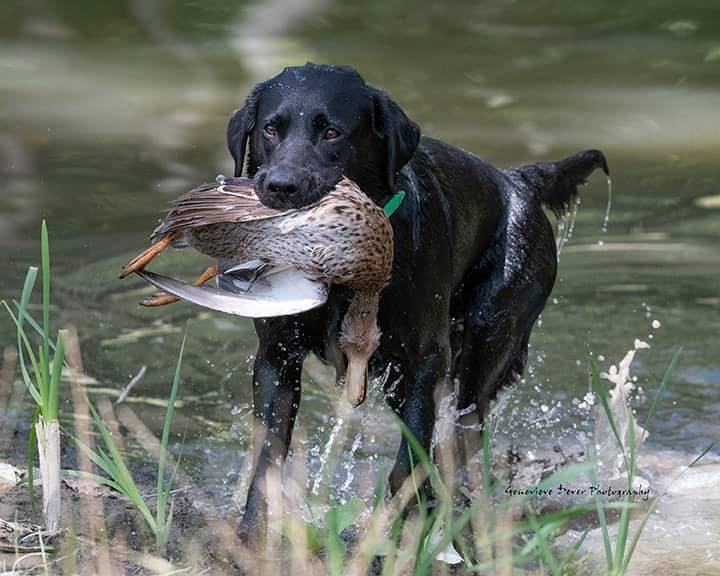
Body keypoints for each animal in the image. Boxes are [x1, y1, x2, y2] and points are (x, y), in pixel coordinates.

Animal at [226, 63, 608, 536]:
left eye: (332, 132)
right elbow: (269, 455)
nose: (281, 186)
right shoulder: (276, 357)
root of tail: (518, 181)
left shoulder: (426, 357)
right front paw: (251, 534)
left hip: (489, 337)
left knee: (465, 426)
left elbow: (410, 458)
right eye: (270, 129)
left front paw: (397, 530)